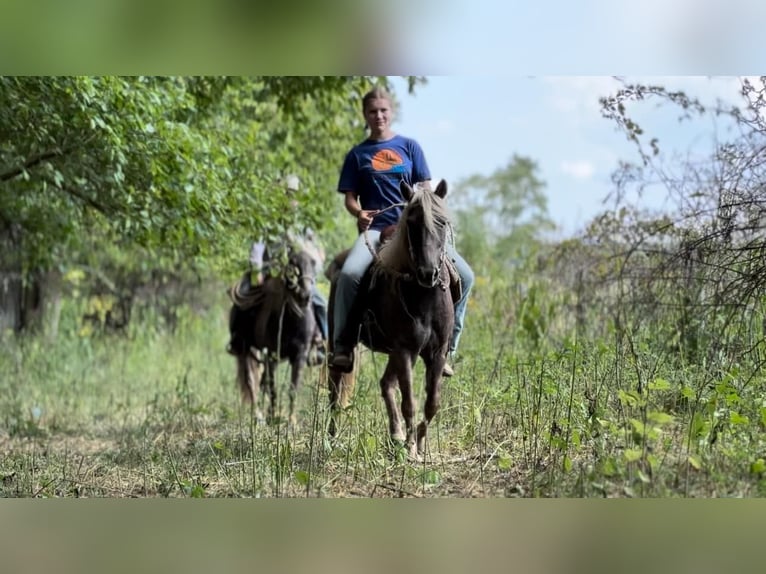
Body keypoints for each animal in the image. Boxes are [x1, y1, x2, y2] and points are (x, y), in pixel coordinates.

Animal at [231, 250, 320, 426]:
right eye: (292, 264)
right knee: (251, 382)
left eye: (313, 263)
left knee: (261, 381)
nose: (305, 296)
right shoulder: (271, 356)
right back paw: (258, 416)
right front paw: (272, 416)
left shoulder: (300, 356)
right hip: (246, 350)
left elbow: (293, 388)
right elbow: (272, 388)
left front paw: (291, 421)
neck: (290, 320)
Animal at [328, 182, 460, 462]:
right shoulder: (405, 350)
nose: (428, 273)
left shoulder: (436, 352)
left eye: (442, 222)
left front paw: (419, 444)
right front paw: (411, 450)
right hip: (339, 343)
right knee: (335, 388)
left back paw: (396, 435)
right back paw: (330, 439)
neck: (422, 295)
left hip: (393, 353)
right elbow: (409, 401)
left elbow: (432, 403)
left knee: (386, 384)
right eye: (411, 222)